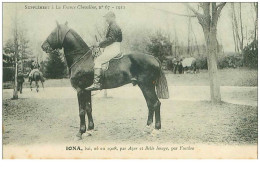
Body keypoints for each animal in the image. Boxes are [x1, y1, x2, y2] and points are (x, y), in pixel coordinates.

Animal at [41, 21, 170, 140]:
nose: (43, 46)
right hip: (144, 86)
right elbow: (88, 108)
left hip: (146, 86)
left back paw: (156, 129)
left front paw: (80, 133)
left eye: (52, 33)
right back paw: (147, 128)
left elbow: (81, 111)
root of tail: (154, 58)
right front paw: (89, 130)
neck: (82, 58)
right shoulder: (87, 90)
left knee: (155, 103)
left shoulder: (80, 90)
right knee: (150, 104)